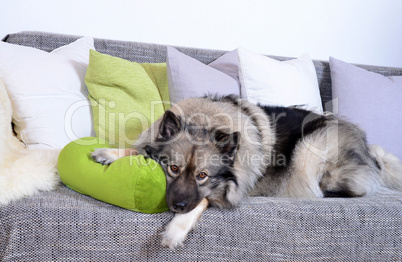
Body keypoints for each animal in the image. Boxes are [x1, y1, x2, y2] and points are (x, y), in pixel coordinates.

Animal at [91, 94, 402, 250]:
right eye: (173, 168)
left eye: (203, 176)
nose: (176, 205)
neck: (206, 121)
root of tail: (370, 150)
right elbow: (138, 149)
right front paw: (110, 153)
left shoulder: (228, 187)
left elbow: (204, 200)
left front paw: (176, 229)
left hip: (309, 148)